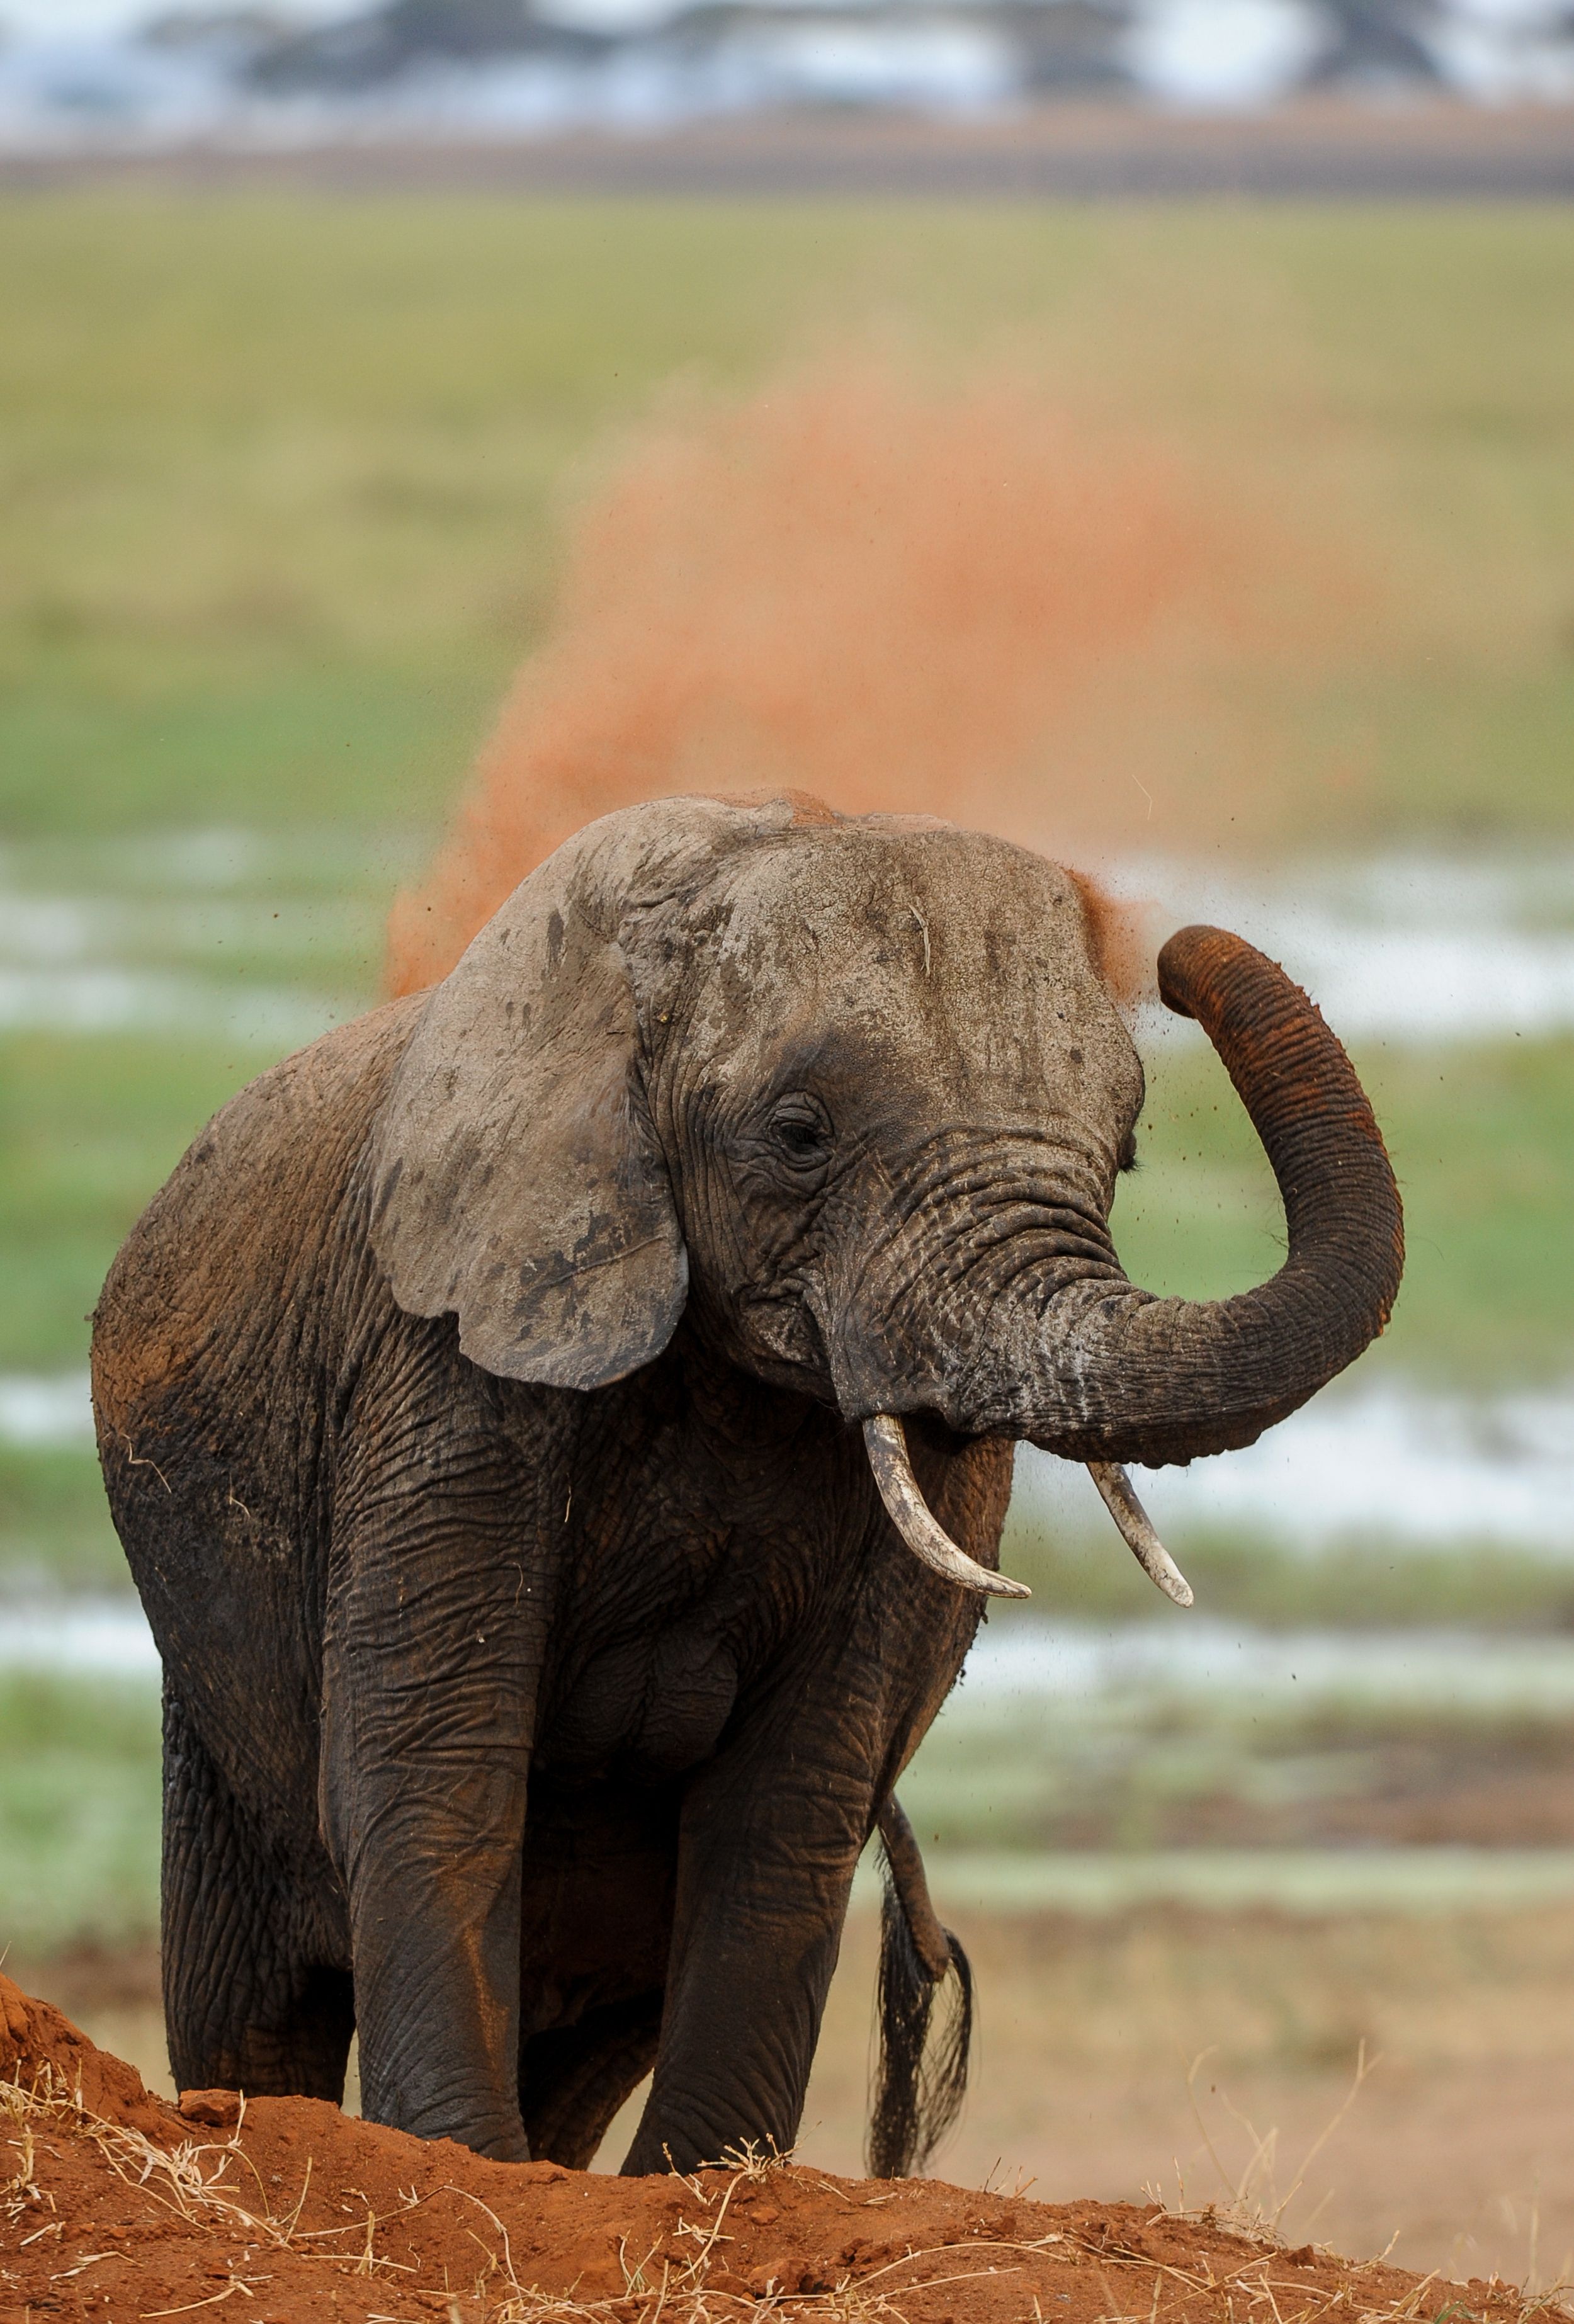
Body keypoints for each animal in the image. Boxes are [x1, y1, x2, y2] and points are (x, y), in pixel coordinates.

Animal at [91, 791, 1402, 2176]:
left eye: (1131, 1149)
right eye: (798, 1135)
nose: (1179, 953)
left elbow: (788, 1806)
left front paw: (696, 2187)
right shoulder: (442, 1368)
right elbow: (434, 1764)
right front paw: (466, 2171)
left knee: (590, 2038)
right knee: (251, 1995)